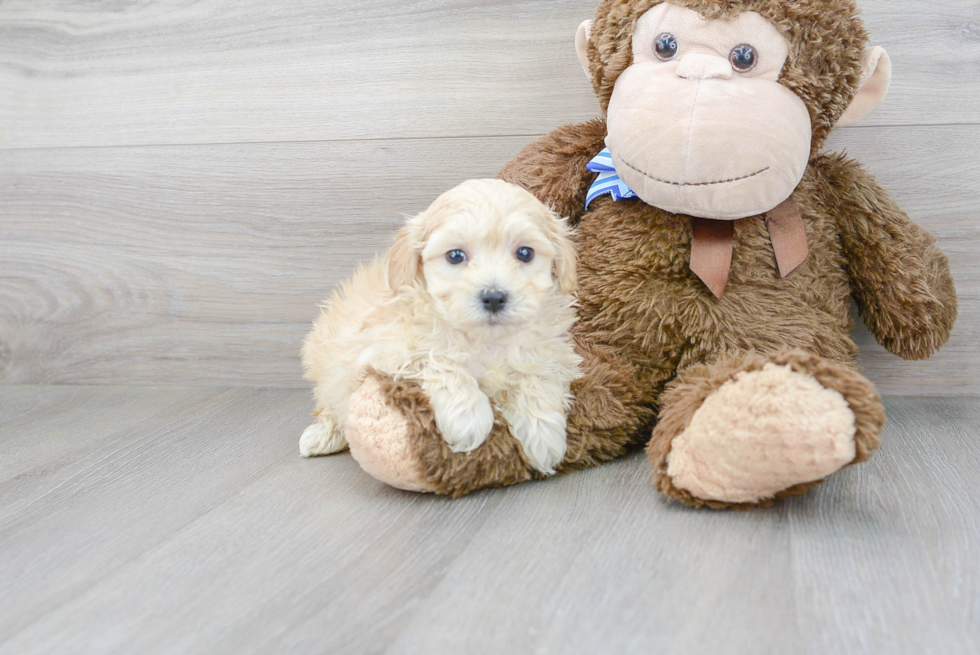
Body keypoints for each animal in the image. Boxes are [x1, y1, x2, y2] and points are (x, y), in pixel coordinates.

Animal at [298, 179, 580, 474]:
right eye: (455, 256)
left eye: (525, 253)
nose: (493, 297)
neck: (485, 340)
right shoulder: (385, 349)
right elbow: (438, 359)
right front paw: (468, 418)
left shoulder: (553, 353)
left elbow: (539, 377)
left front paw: (543, 435)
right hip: (327, 368)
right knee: (329, 406)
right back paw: (321, 436)